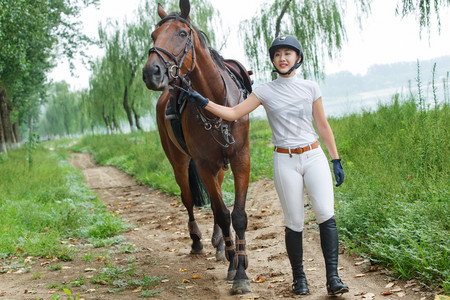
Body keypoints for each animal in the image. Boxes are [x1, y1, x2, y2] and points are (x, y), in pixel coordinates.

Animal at [142, 0, 251, 294]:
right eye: (153, 36)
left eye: (182, 33)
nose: (151, 72)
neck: (216, 102)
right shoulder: (203, 165)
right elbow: (223, 214)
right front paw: (235, 267)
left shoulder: (241, 159)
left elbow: (236, 215)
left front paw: (240, 268)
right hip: (179, 162)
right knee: (189, 199)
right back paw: (199, 241)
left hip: (220, 166)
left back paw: (219, 245)